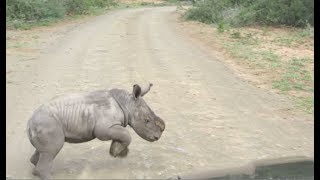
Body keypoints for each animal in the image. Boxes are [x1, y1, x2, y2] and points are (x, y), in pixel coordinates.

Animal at [26, 83, 165, 179]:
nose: (157, 137)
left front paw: (120, 152)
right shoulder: (104, 129)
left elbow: (123, 135)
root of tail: (29, 123)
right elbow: (126, 134)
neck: (126, 103)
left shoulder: (111, 127)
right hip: (47, 124)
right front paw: (116, 152)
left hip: (44, 125)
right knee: (51, 150)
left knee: (45, 151)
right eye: (146, 120)